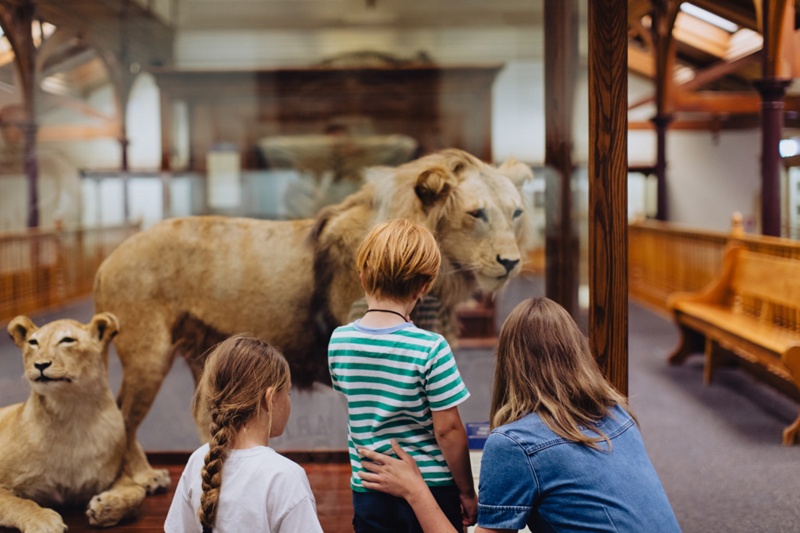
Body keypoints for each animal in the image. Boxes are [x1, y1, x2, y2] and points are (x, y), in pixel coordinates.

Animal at [1, 314, 147, 528]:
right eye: (33, 343)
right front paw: (43, 520)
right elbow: (18, 502)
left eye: (67, 340)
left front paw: (106, 507)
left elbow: (138, 491)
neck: (71, 414)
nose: (40, 365)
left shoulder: (113, 474)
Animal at [94, 147, 536, 490]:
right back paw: (141, 476)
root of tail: (107, 259)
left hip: (204, 353)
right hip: (149, 354)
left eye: (516, 213)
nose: (511, 262)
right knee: (123, 413)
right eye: (477, 214)